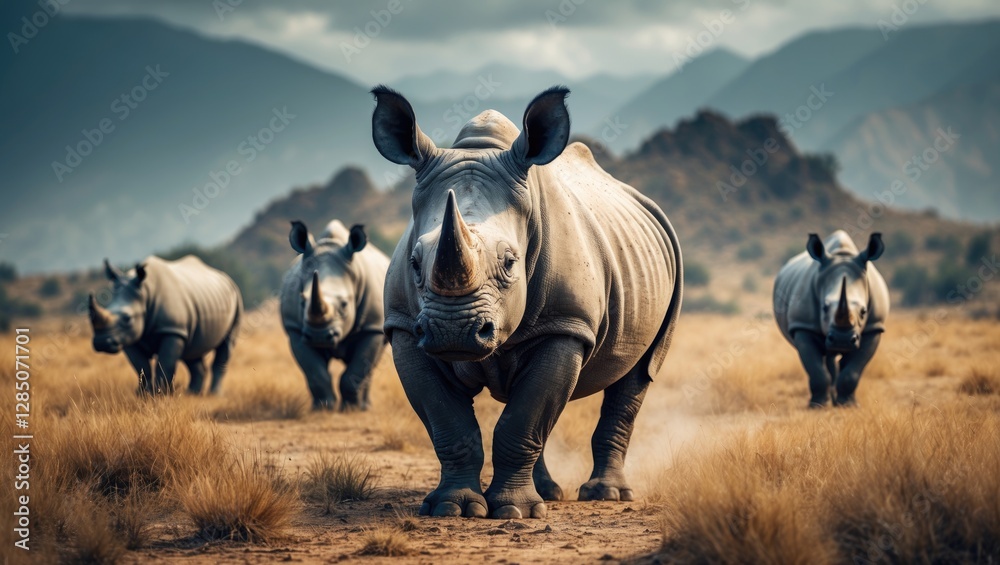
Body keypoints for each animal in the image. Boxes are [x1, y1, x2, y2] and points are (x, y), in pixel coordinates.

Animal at [89, 256, 243, 395]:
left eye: (128, 318)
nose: (101, 342)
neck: (145, 293)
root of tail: (225, 277)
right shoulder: (129, 338)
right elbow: (141, 366)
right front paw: (144, 395)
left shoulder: (172, 330)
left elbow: (165, 363)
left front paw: (160, 394)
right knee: (192, 351)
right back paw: (192, 394)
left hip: (235, 297)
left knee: (226, 344)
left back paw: (214, 394)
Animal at [279, 220, 389, 411]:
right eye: (302, 301)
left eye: (344, 304)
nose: (319, 336)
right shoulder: (295, 330)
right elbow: (316, 372)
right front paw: (322, 408)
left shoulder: (373, 327)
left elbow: (357, 369)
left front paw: (351, 409)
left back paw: (365, 406)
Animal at [371, 86, 683, 520]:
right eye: (415, 262)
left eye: (509, 262)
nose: (453, 331)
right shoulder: (403, 326)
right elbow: (450, 423)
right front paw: (452, 508)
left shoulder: (565, 325)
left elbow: (524, 419)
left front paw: (514, 513)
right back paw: (549, 493)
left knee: (638, 374)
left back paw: (606, 495)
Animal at [773, 230, 889, 408]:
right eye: (824, 308)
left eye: (863, 311)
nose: (842, 340)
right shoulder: (803, 326)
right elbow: (817, 370)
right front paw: (817, 406)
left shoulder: (874, 327)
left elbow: (853, 371)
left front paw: (848, 405)